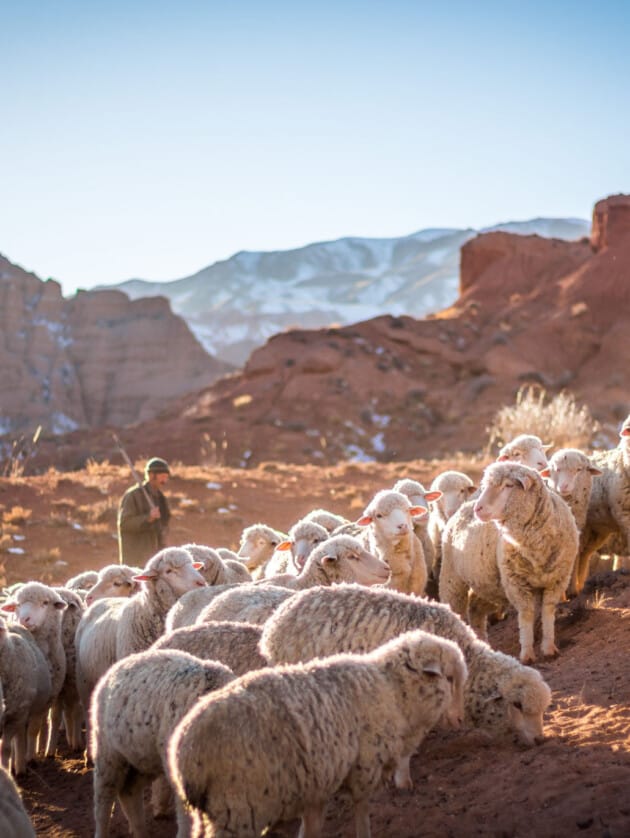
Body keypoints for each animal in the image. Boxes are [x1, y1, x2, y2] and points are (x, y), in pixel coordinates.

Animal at [91, 649, 235, 838]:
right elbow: (187, 817)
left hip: (143, 758)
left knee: (129, 792)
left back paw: (141, 832)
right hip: (108, 752)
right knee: (103, 797)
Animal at [169, 629, 466, 838]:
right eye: (449, 678)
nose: (460, 720)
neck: (392, 689)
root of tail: (185, 752)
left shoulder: (316, 782)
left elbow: (312, 826)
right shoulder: (364, 769)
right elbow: (362, 813)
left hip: (216, 809)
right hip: (237, 805)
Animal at [472, 461, 579, 663]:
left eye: (508, 485)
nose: (478, 509)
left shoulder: (557, 580)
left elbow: (547, 611)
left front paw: (548, 648)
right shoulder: (516, 583)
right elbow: (526, 615)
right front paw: (527, 653)